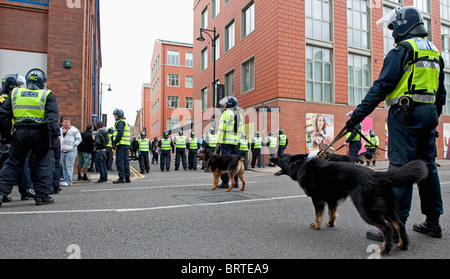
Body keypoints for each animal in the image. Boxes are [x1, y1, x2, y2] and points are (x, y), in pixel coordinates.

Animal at [270, 154, 428, 258]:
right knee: (399, 224)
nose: (271, 158)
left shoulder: (317, 200)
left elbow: (318, 215)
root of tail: (377, 176)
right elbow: (332, 213)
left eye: (280, 157)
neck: (301, 165)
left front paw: (316, 226)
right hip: (389, 209)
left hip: (366, 210)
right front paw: (330, 223)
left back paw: (385, 249)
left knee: (387, 228)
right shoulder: (331, 199)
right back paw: (403, 245)